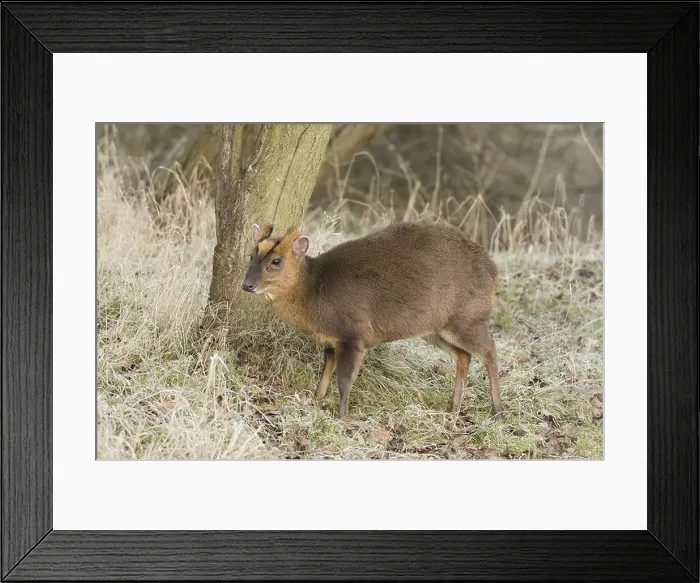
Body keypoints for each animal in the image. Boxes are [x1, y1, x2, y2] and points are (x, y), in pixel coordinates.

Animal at [241, 220, 503, 420]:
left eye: (276, 261)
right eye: (252, 256)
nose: (246, 285)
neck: (315, 291)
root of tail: (493, 270)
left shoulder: (354, 334)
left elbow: (344, 379)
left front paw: (342, 416)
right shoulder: (331, 340)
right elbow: (326, 370)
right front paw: (316, 400)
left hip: (468, 318)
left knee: (489, 349)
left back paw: (498, 411)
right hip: (436, 330)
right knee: (464, 356)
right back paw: (454, 409)